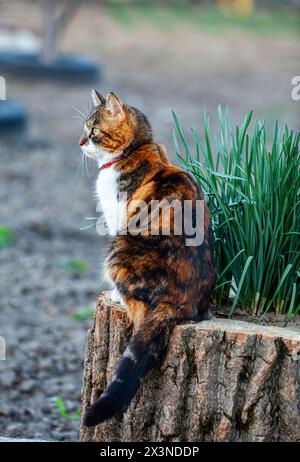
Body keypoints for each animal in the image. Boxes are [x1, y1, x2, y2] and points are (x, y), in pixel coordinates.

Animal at [79, 89, 216, 426]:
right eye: (85, 129)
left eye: (93, 131)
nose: (80, 142)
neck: (137, 149)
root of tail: (180, 302)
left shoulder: (118, 216)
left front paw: (113, 295)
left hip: (118, 247)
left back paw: (118, 296)